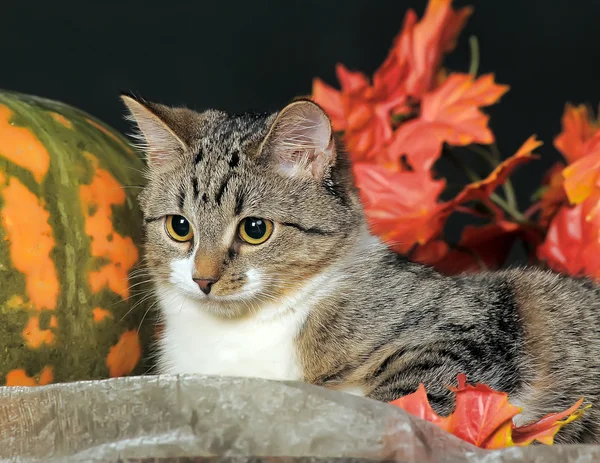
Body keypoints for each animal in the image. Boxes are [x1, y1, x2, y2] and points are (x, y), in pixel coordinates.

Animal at [122, 95, 600, 446]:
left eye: (255, 229)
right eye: (179, 226)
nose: (203, 279)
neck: (237, 335)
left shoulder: (469, 322)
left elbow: (408, 402)